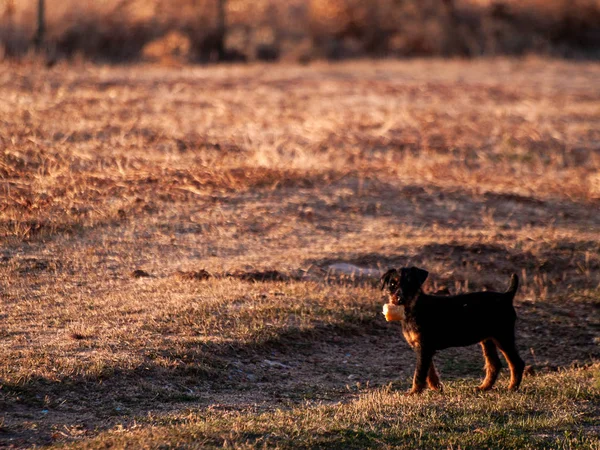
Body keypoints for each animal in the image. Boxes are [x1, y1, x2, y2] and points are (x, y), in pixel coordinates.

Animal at [380, 268, 524, 394]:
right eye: (392, 284)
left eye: (410, 283)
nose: (399, 299)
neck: (413, 307)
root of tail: (506, 296)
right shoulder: (423, 348)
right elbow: (429, 371)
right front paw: (436, 387)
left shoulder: (424, 347)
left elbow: (420, 373)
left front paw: (414, 392)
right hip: (488, 339)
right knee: (494, 364)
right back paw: (484, 387)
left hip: (503, 336)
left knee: (516, 363)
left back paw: (512, 388)